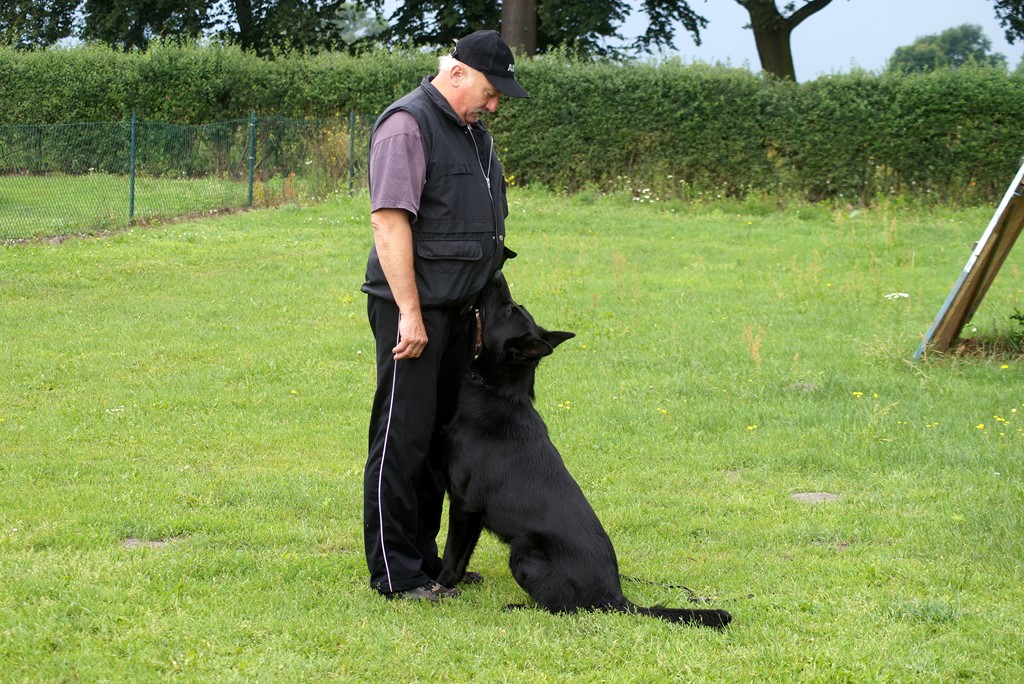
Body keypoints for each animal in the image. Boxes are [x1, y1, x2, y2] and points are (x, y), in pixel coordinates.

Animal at [436, 270, 733, 626]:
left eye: (509, 309)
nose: (496, 272)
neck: (498, 391)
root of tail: (615, 595)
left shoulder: (464, 505)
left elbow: (452, 556)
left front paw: (438, 584)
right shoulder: (474, 515)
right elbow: (463, 557)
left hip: (523, 554)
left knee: (564, 607)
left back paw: (519, 607)